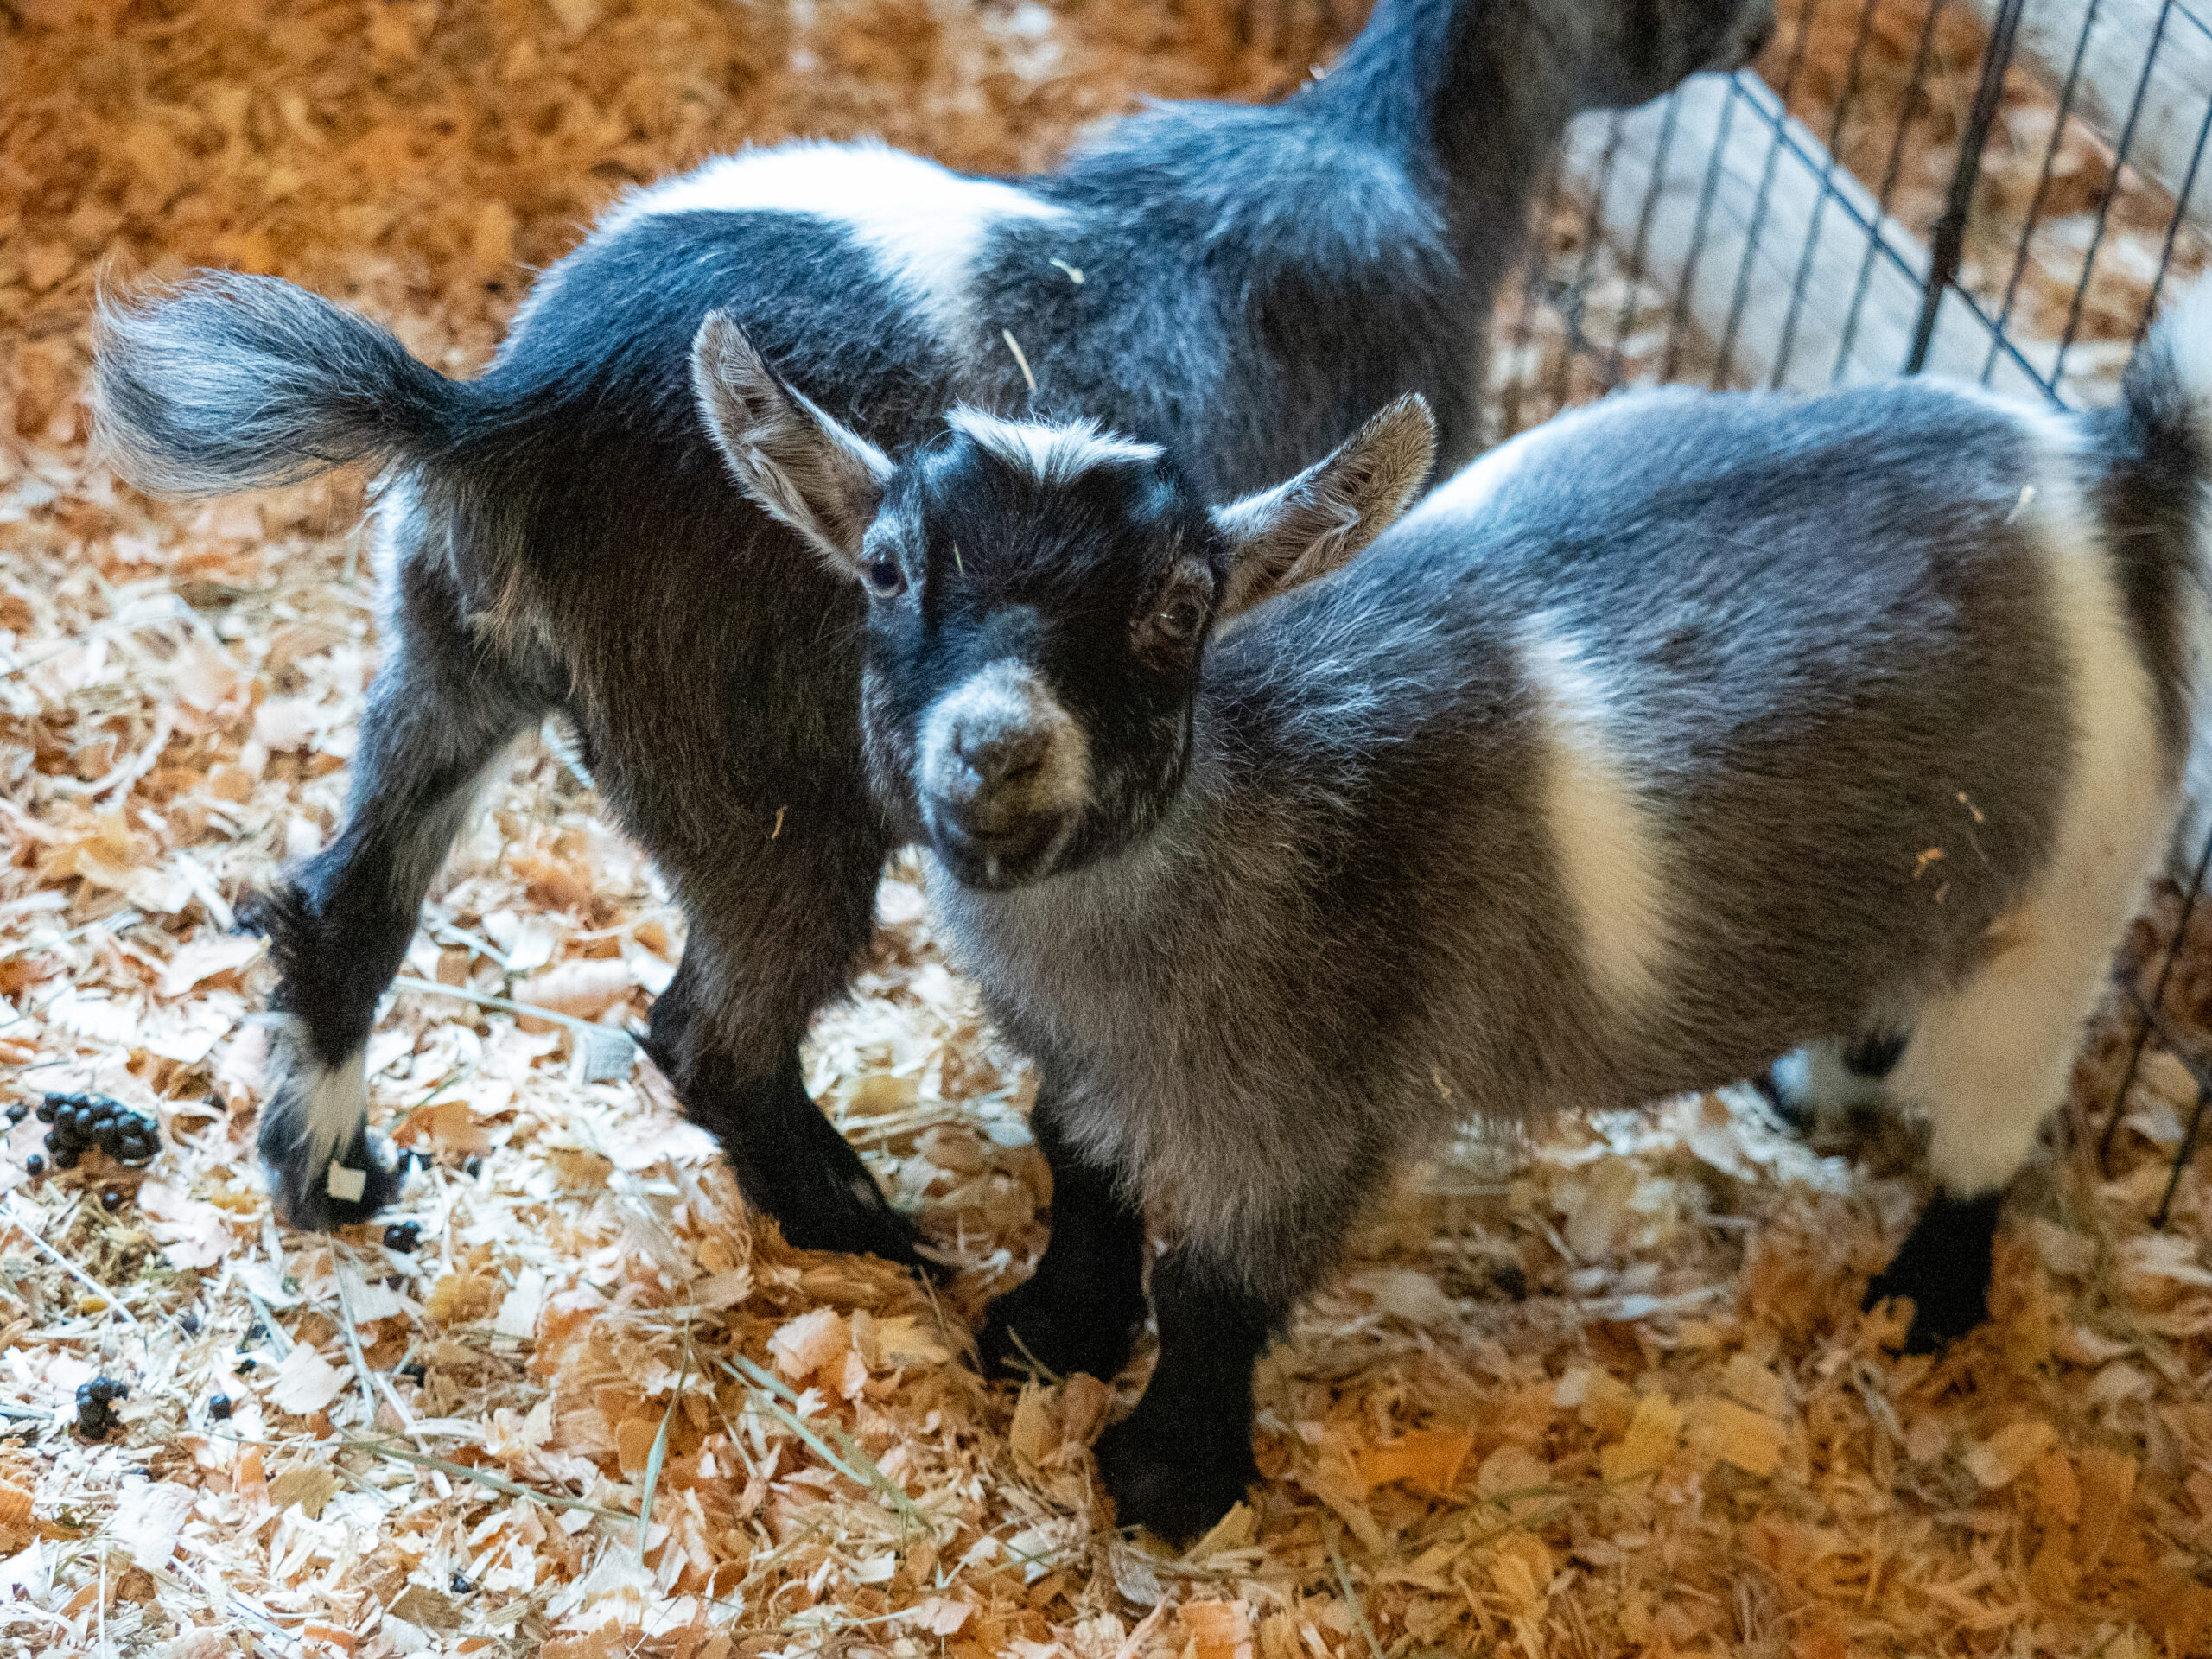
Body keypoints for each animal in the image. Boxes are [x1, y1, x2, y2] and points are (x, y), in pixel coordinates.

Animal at [89, 0, 1777, 1251]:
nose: (1759, 25)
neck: (1383, 147)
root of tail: (500, 408)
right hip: (765, 787)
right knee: (713, 1027)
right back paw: (861, 1224)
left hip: (449, 650)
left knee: (343, 905)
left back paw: (331, 1172)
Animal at [687, 287, 2212, 1544]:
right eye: (888, 566)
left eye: (1181, 608)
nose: (996, 747)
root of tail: (2102, 473)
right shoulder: (1097, 1061)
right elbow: (1084, 1168)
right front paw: (1045, 1335)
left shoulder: (1315, 1116)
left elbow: (1216, 1290)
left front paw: (1168, 1481)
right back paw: (1819, 1091)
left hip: (2066, 904)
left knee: (1993, 1115)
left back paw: (1922, 1300)